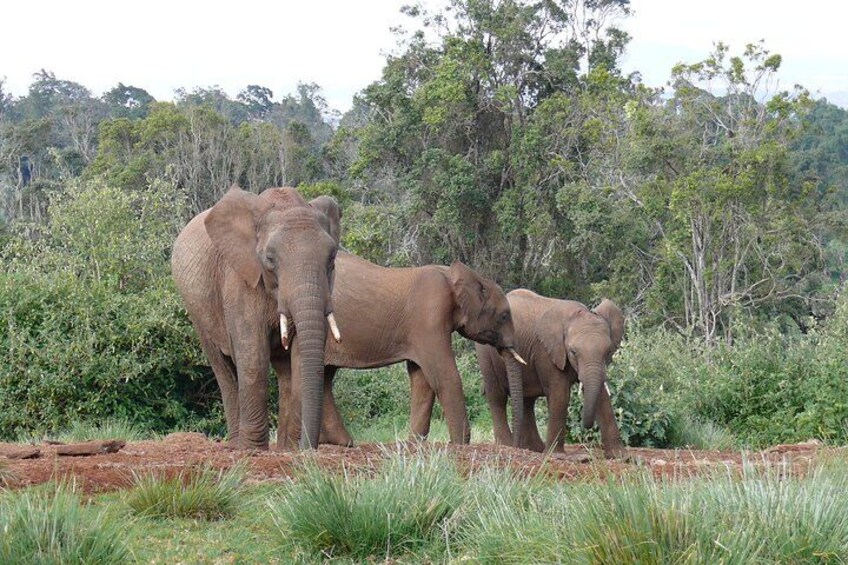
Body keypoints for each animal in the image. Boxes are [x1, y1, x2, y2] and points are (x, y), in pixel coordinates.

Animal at [171, 185, 342, 450]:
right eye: (270, 259)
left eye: (332, 258)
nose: (308, 448)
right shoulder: (239, 278)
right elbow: (253, 356)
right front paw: (252, 450)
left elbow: (299, 357)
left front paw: (290, 450)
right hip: (196, 309)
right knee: (223, 368)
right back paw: (236, 445)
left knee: (283, 370)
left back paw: (282, 447)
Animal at [276, 252, 527, 448]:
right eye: (504, 316)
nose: (515, 445)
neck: (453, 274)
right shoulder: (429, 318)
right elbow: (444, 376)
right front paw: (459, 444)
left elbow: (422, 379)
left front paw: (412, 444)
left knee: (324, 377)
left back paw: (341, 442)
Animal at [475, 290, 626, 458]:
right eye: (573, 352)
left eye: (608, 352)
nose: (586, 426)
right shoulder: (547, 351)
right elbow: (560, 394)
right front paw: (556, 455)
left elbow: (602, 396)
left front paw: (621, 457)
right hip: (485, 352)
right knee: (497, 395)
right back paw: (507, 445)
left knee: (527, 400)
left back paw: (533, 448)